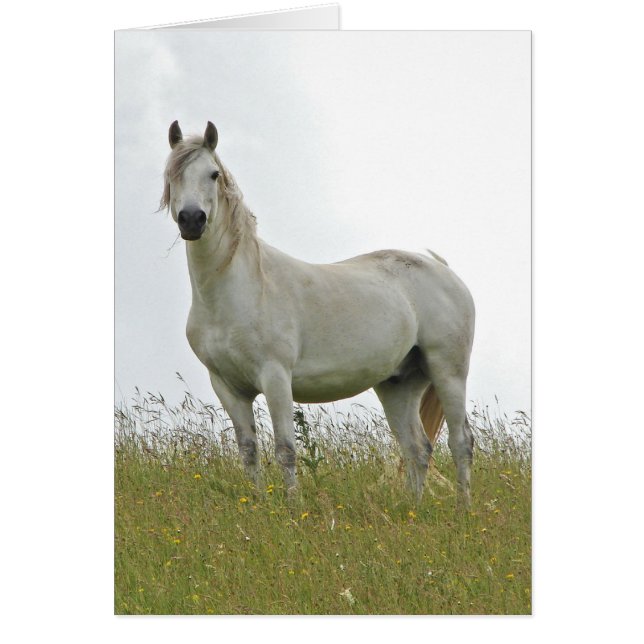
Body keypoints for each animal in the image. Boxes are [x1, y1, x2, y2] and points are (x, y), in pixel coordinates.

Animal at [161, 120, 476, 506]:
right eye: (172, 175)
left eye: (213, 174)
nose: (192, 220)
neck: (237, 291)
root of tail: (444, 270)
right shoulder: (227, 387)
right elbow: (248, 451)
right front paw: (258, 506)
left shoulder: (276, 377)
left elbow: (285, 449)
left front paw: (292, 508)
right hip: (399, 385)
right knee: (417, 448)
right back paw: (414, 510)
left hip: (448, 371)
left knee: (460, 442)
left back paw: (463, 509)